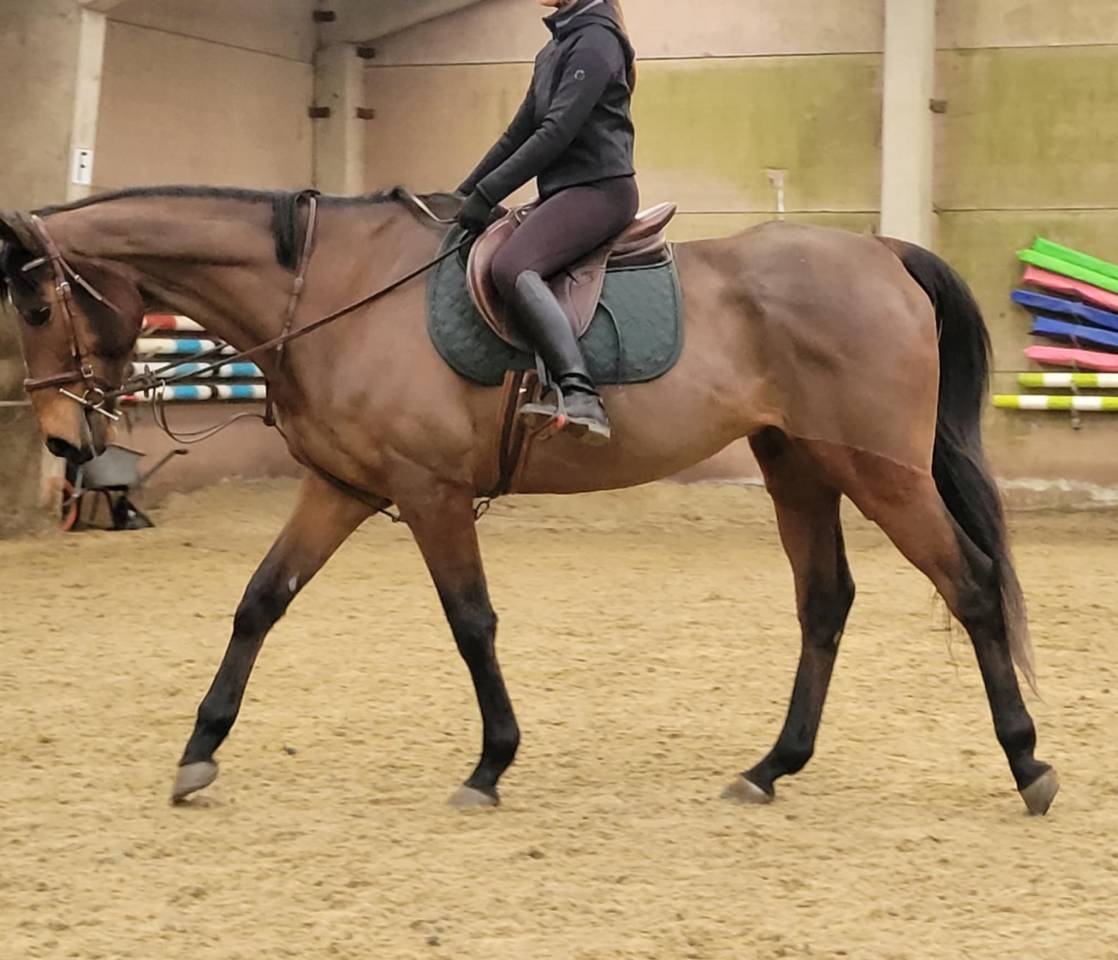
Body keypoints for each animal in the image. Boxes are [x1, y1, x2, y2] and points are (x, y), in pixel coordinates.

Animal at [0, 186, 1058, 815]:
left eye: (40, 305)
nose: (61, 441)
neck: (336, 291)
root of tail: (881, 253)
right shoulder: (342, 488)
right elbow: (261, 602)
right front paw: (199, 750)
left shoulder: (428, 492)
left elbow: (471, 621)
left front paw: (491, 764)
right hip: (796, 464)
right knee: (826, 600)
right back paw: (770, 768)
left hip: (878, 470)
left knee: (968, 586)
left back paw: (1028, 765)